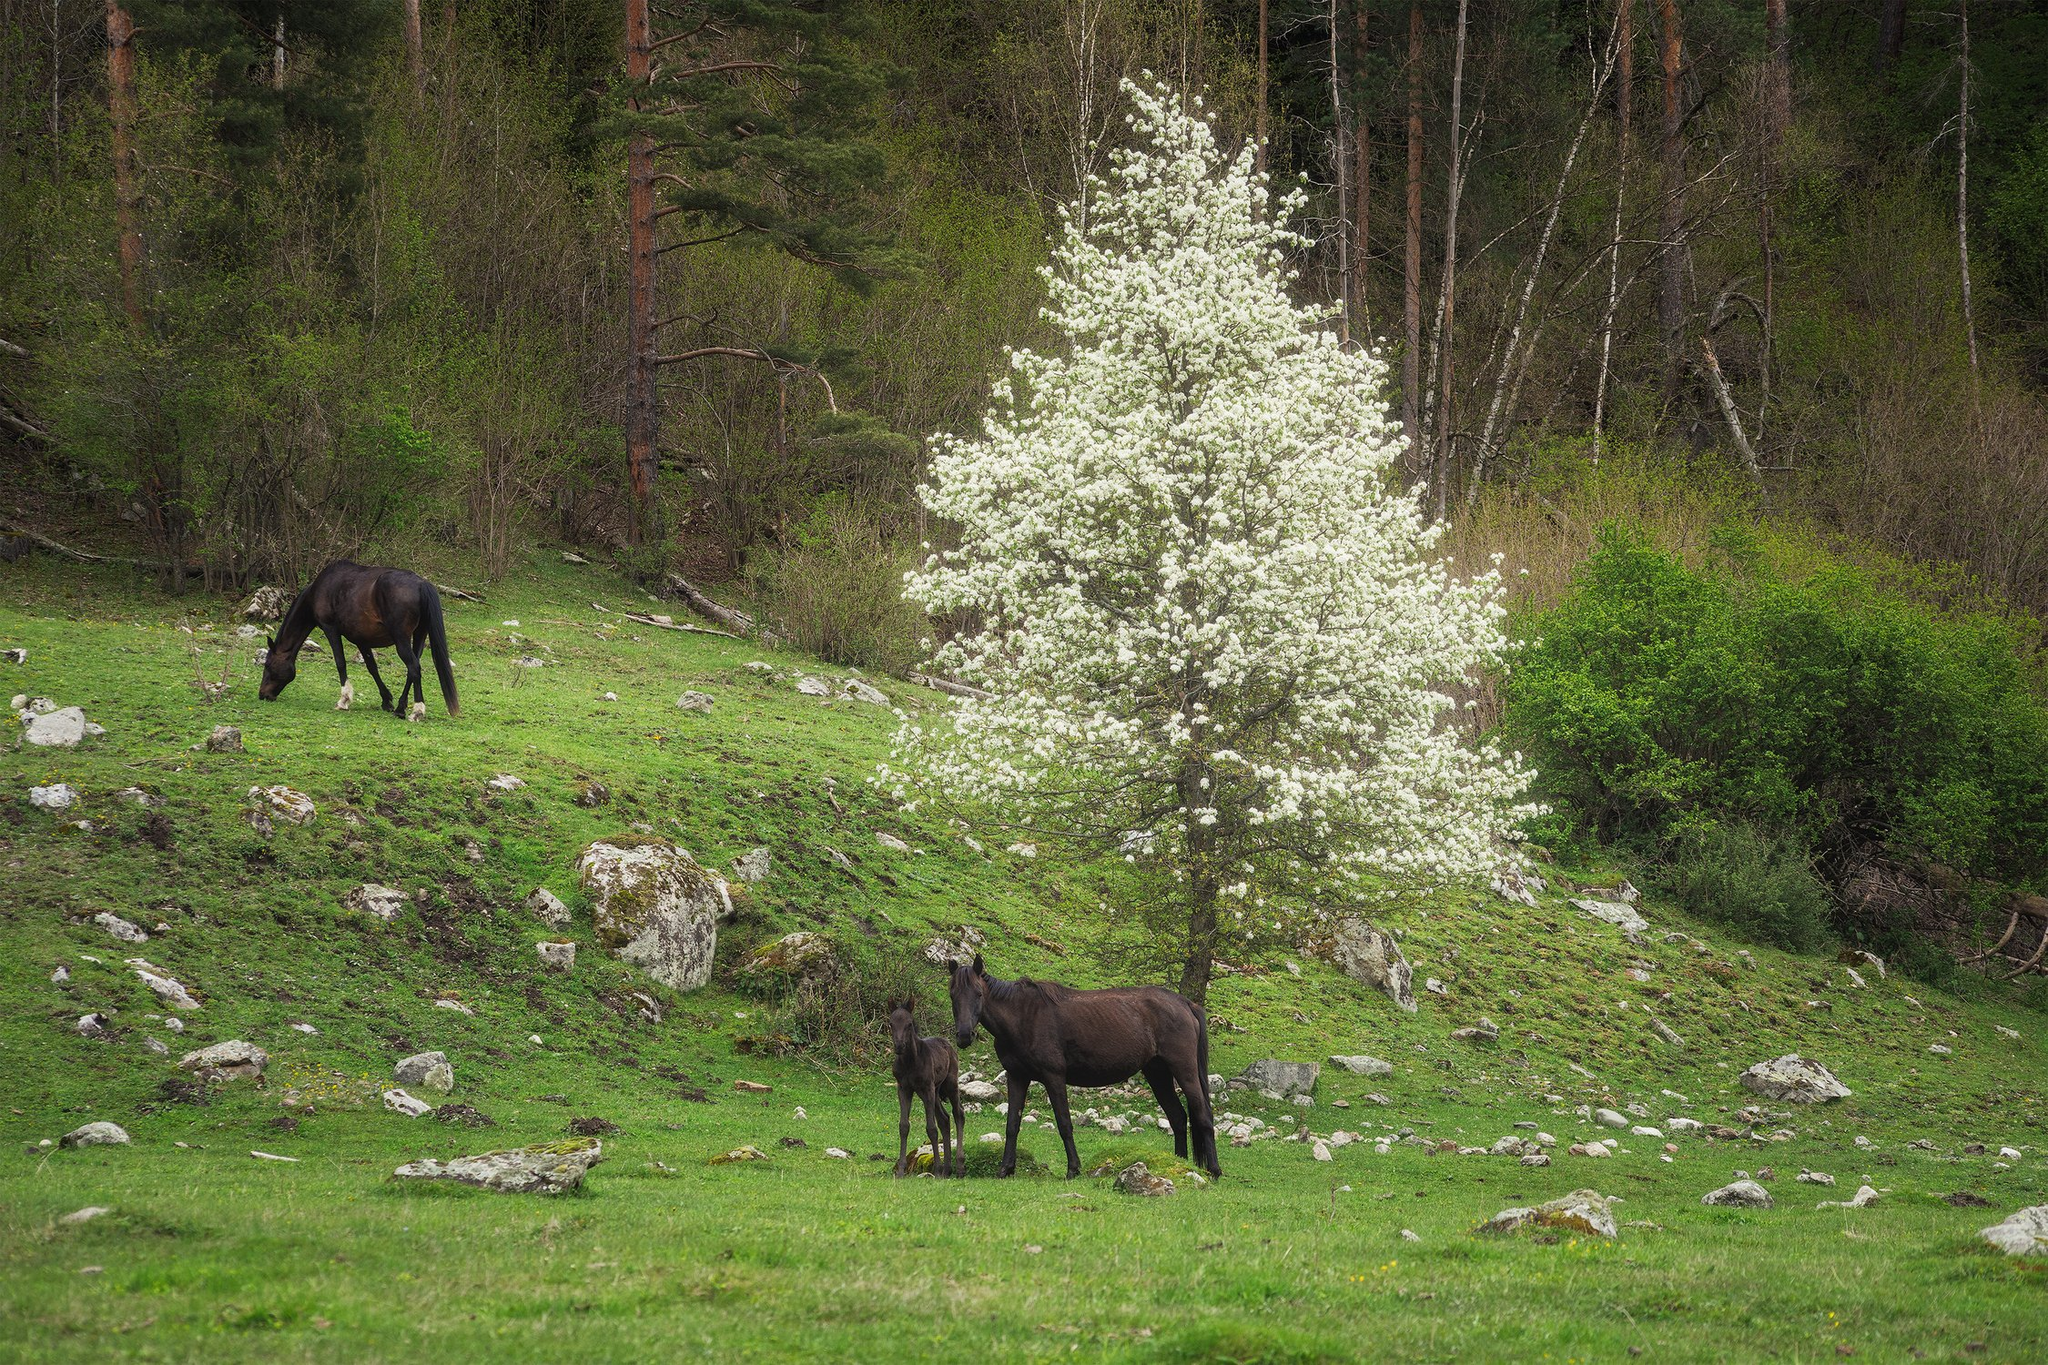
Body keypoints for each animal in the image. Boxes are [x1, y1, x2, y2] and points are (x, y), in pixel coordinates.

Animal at [258, 560, 458, 720]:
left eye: (268, 665)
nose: (262, 695)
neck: (320, 589)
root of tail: (420, 584)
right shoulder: (362, 640)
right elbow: (372, 668)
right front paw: (386, 701)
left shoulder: (331, 629)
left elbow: (340, 663)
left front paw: (344, 700)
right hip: (419, 636)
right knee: (412, 669)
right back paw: (400, 708)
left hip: (401, 639)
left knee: (414, 667)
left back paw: (416, 711)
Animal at [888, 998, 966, 1178]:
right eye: (891, 1023)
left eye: (909, 1024)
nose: (899, 1046)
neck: (910, 1062)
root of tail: (949, 1045)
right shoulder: (904, 1089)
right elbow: (904, 1126)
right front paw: (901, 1170)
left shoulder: (927, 1087)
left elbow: (931, 1128)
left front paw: (936, 1169)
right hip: (934, 1092)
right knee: (944, 1119)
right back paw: (947, 1169)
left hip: (949, 1084)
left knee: (958, 1113)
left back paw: (958, 1166)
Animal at [954, 957, 1220, 1178]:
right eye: (952, 993)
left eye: (978, 993)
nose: (964, 1036)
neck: (1022, 1017)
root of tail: (1185, 1004)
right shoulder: (1017, 1077)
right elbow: (1012, 1125)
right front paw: (1005, 1169)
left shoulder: (1054, 1077)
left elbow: (1064, 1124)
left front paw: (1073, 1169)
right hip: (1158, 1073)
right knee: (1178, 1117)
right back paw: (1178, 1164)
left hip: (1184, 1071)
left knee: (1203, 1115)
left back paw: (1215, 1171)